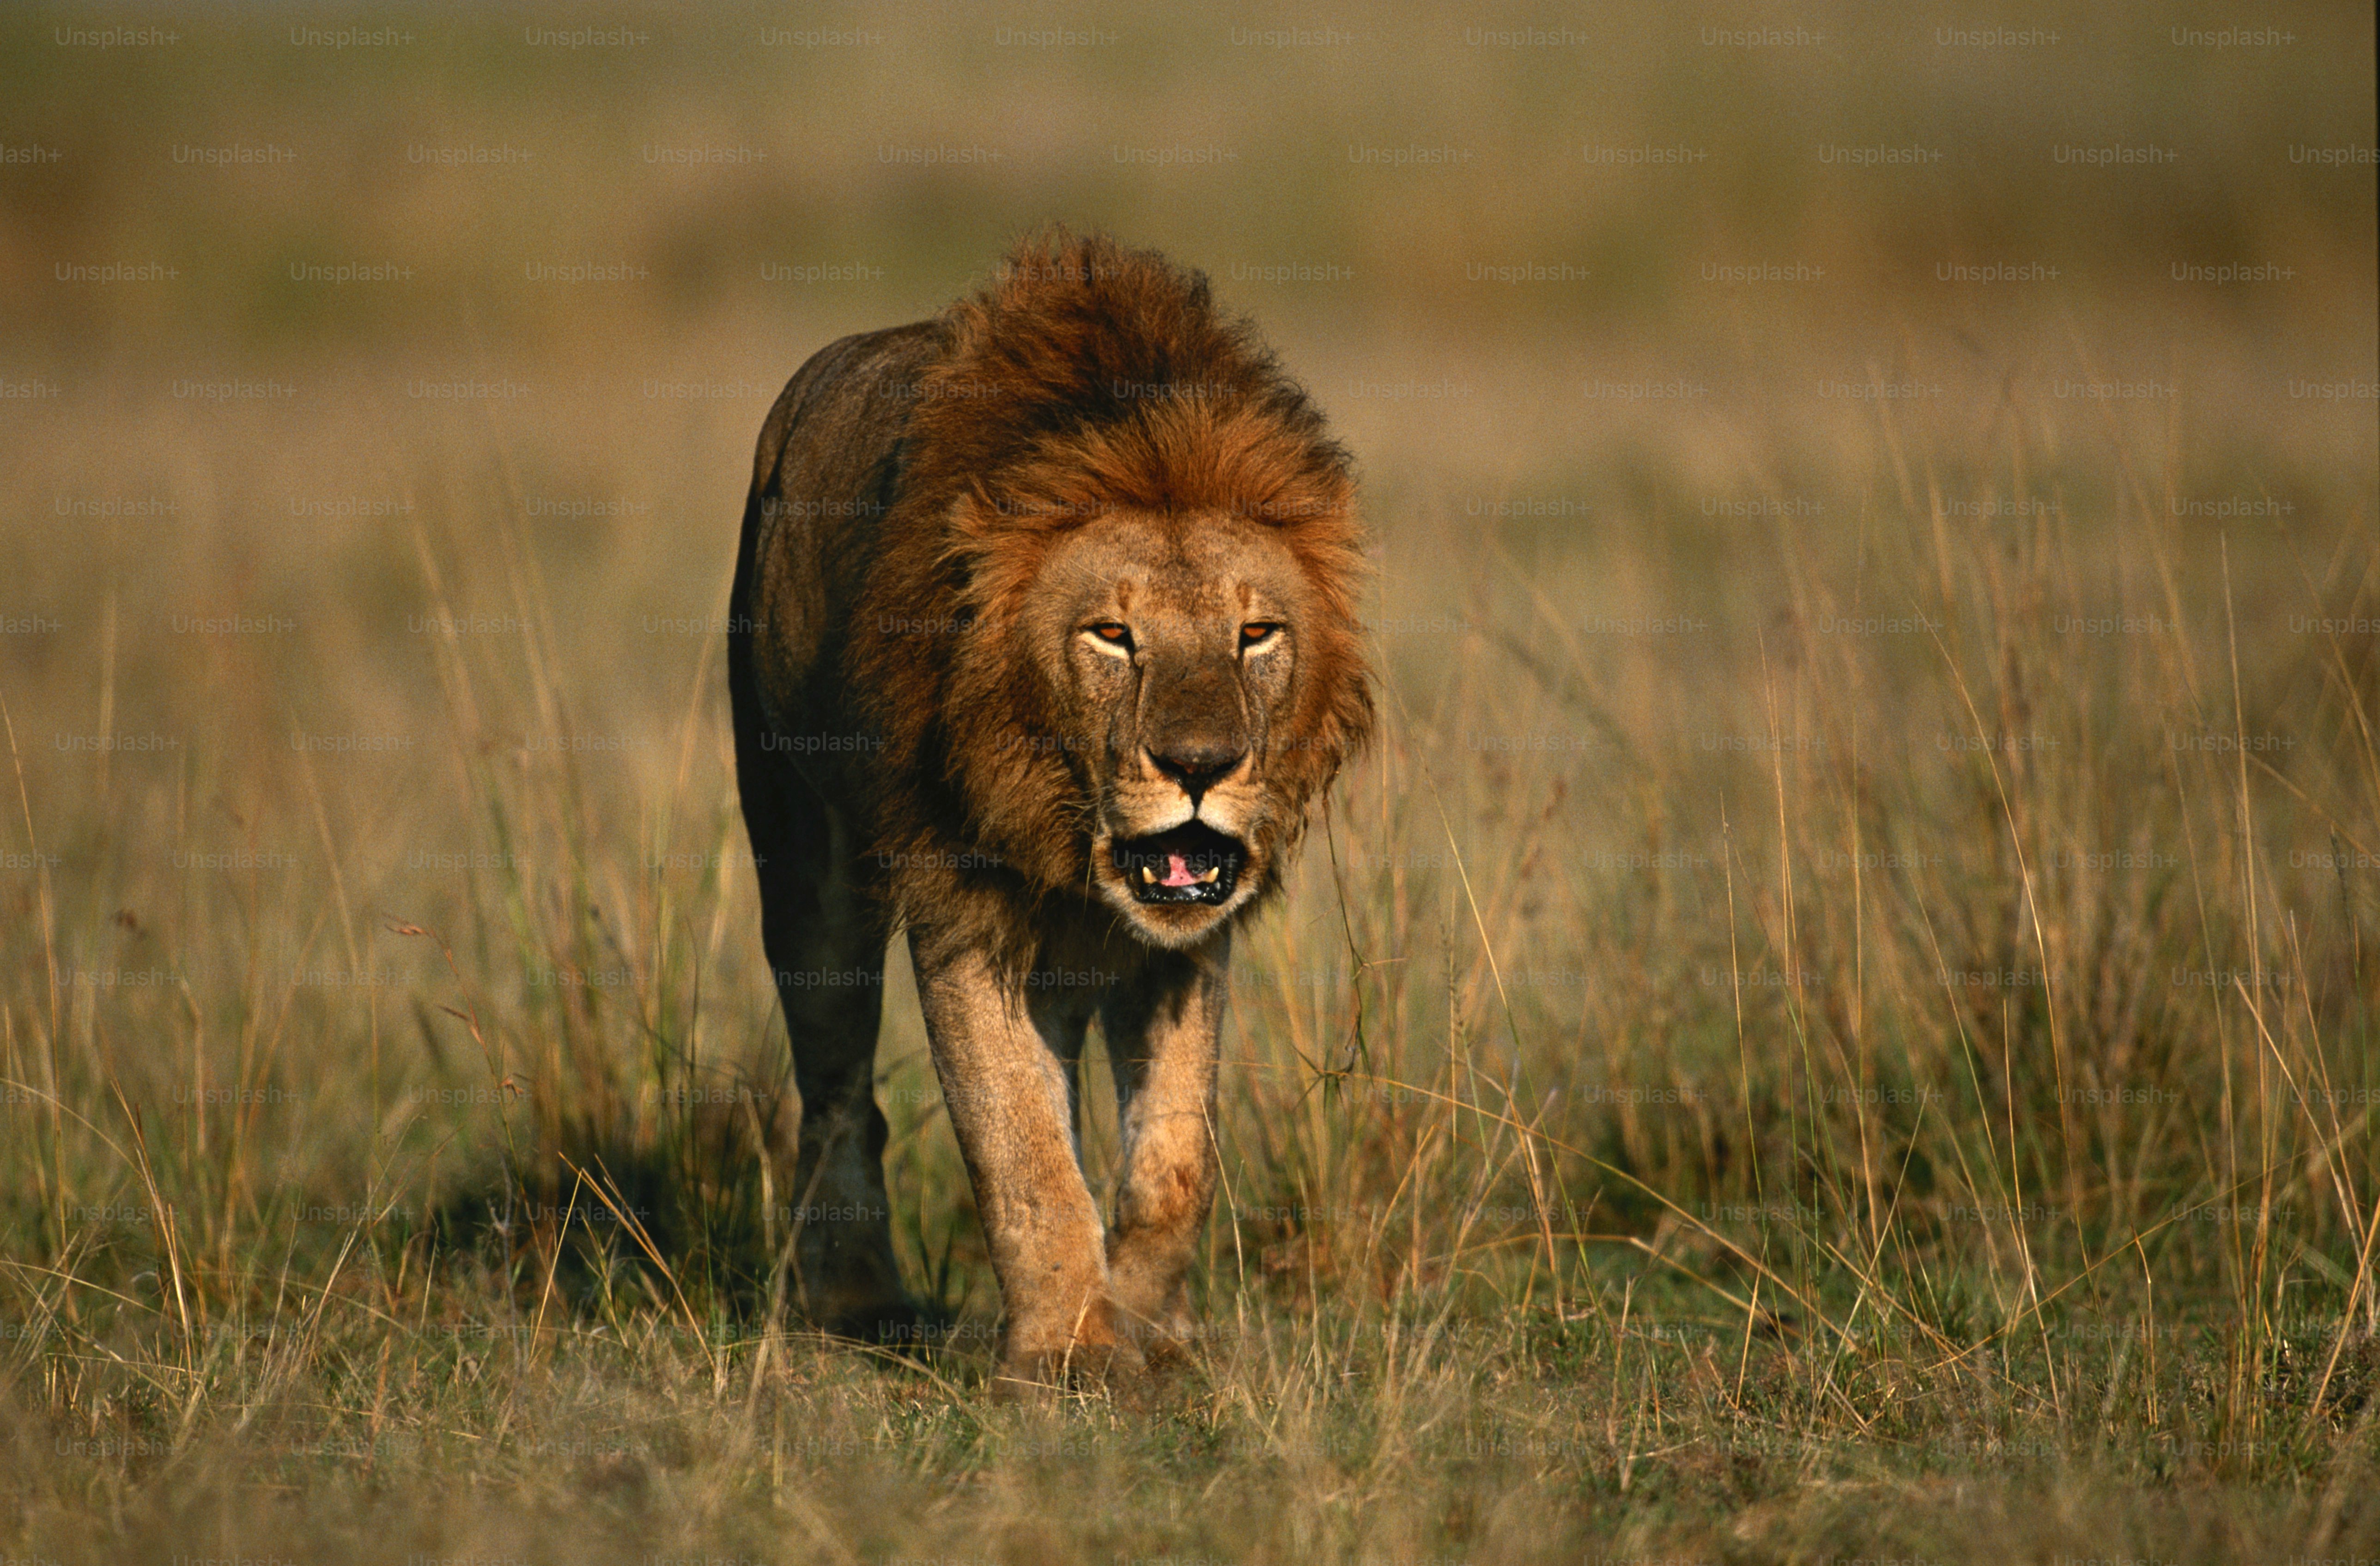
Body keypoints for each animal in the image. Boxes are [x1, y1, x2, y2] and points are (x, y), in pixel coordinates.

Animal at [723, 226, 1380, 1380]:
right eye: (1111, 636)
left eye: (1254, 634)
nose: (1201, 762)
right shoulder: (956, 904)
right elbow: (1019, 1150)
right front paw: (1064, 1354)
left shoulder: (1186, 943)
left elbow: (1171, 1161)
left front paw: (1148, 1335)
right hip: (802, 859)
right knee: (839, 1090)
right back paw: (855, 1297)